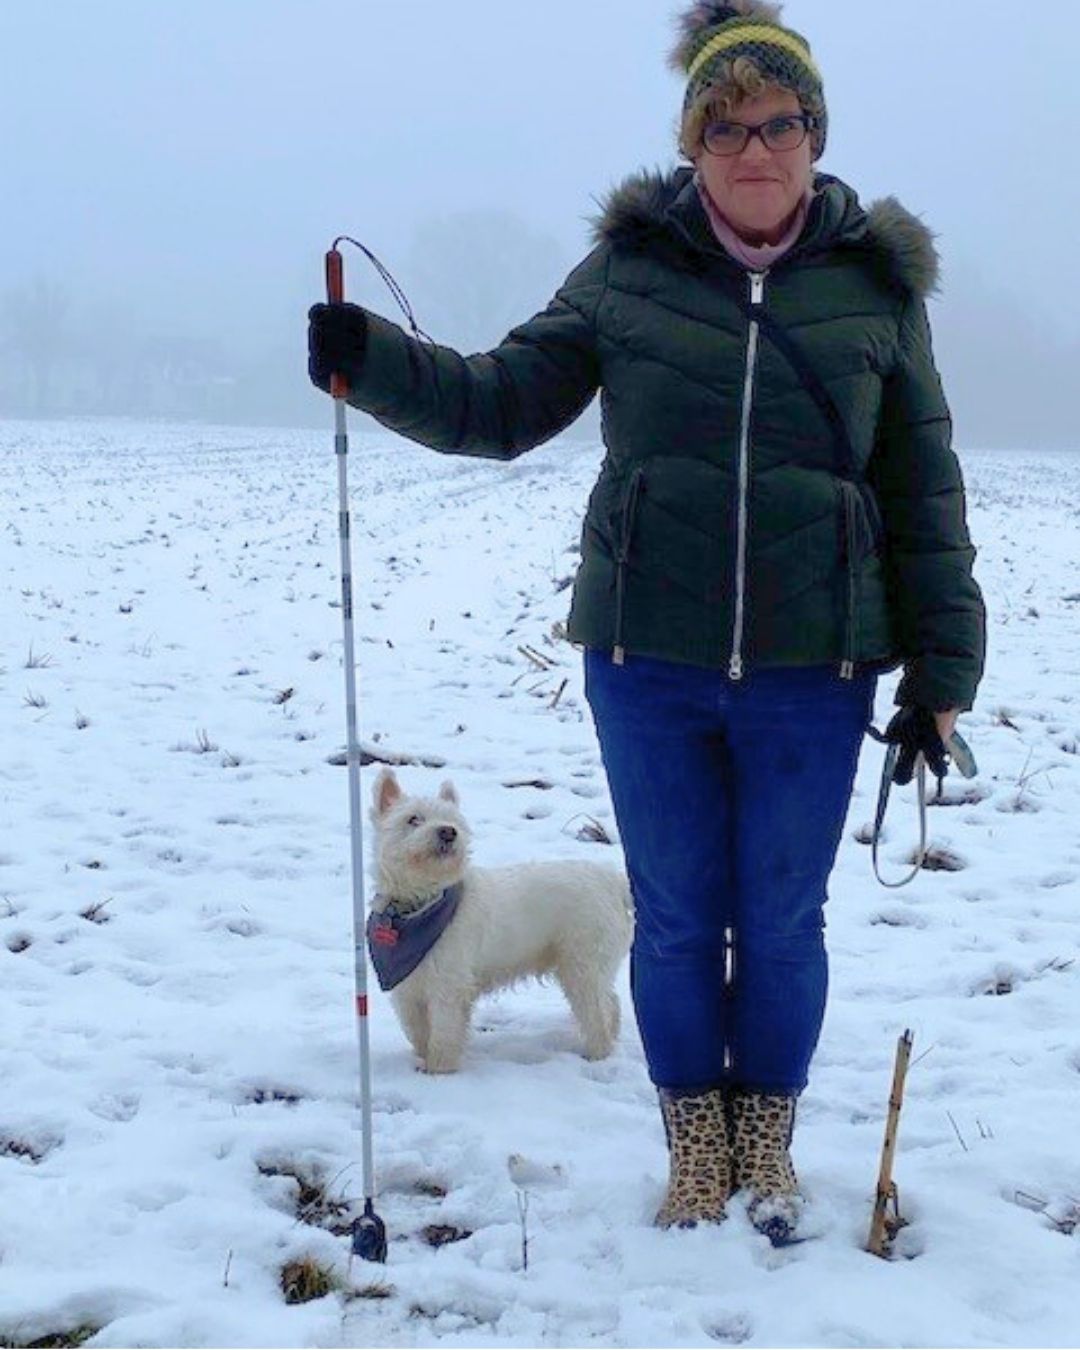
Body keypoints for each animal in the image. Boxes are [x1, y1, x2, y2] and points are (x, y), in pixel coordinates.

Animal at [369, 772, 631, 1074]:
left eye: (453, 820)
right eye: (413, 819)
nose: (448, 832)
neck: (420, 905)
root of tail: (612, 880)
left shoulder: (449, 985)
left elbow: (444, 1034)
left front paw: (440, 1072)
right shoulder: (408, 991)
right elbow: (419, 1033)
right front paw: (423, 1062)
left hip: (583, 967)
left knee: (597, 1013)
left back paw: (597, 1055)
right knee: (611, 1003)